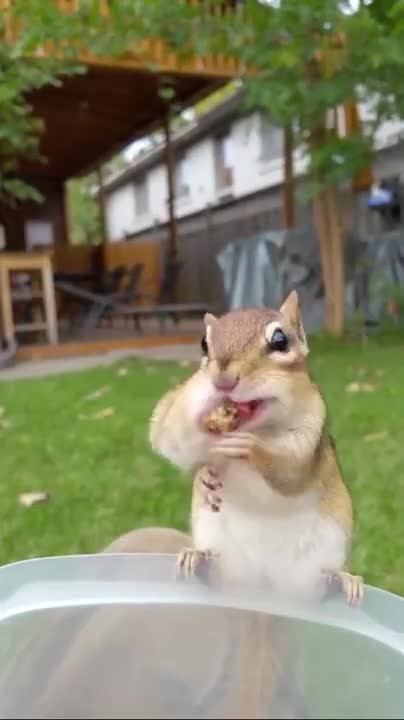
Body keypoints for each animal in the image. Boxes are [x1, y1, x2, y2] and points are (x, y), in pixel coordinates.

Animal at [149, 291, 363, 606]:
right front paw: (204, 474)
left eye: (280, 341)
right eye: (204, 344)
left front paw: (250, 447)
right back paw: (198, 559)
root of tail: (264, 588)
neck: (257, 427)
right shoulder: (176, 413)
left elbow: (291, 471)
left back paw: (341, 580)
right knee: (215, 575)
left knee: (319, 589)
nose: (222, 381)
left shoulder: (310, 436)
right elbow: (170, 436)